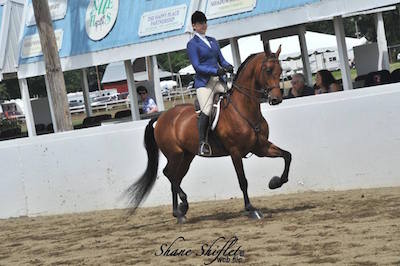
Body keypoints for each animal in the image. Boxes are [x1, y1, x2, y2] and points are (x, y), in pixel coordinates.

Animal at [126, 44, 292, 223]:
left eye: (280, 70)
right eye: (268, 70)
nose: (276, 99)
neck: (244, 109)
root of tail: (163, 117)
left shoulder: (260, 148)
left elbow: (287, 156)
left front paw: (275, 182)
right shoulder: (235, 152)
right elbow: (243, 181)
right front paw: (251, 209)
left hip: (186, 156)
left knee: (175, 177)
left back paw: (180, 211)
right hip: (175, 154)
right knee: (169, 174)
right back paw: (181, 207)